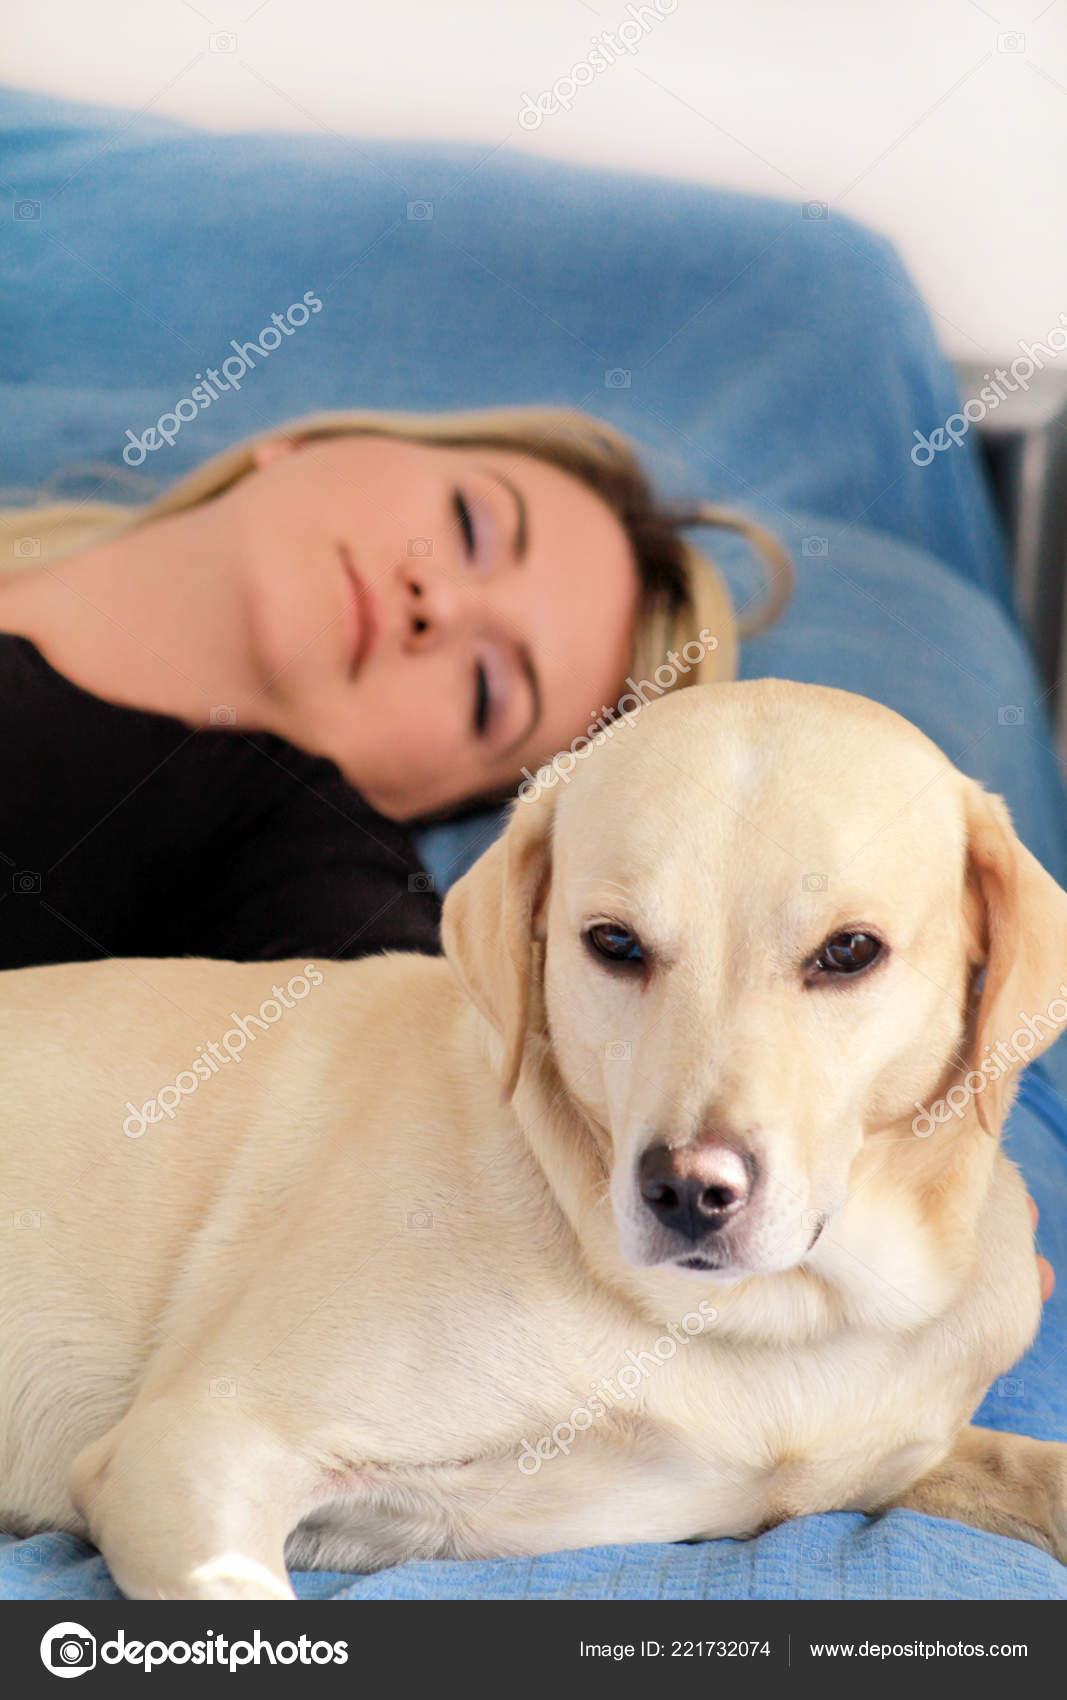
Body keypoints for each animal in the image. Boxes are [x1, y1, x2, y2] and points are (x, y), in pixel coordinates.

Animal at [2, 680, 1067, 1591]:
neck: (773, 1325)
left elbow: (1030, 1468)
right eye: (614, 944)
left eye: (848, 952)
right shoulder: (193, 1448)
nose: (686, 1191)